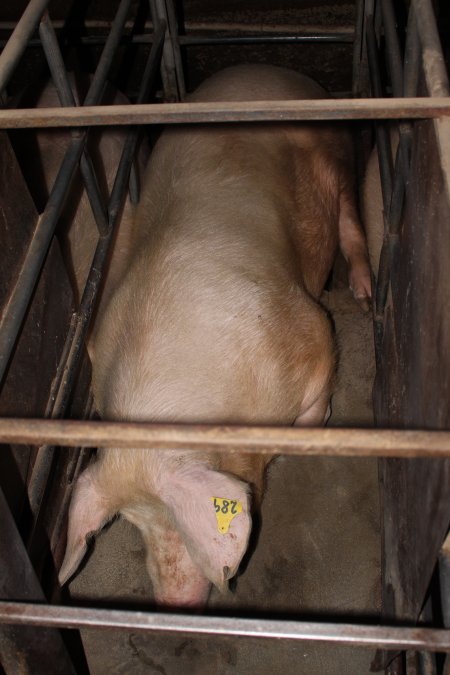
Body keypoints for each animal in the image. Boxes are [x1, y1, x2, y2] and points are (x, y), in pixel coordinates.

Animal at [58, 66, 370, 608]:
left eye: (174, 521)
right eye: (133, 524)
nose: (173, 604)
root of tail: (273, 71)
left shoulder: (311, 336)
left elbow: (316, 401)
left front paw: (314, 430)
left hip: (337, 154)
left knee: (350, 216)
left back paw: (366, 293)